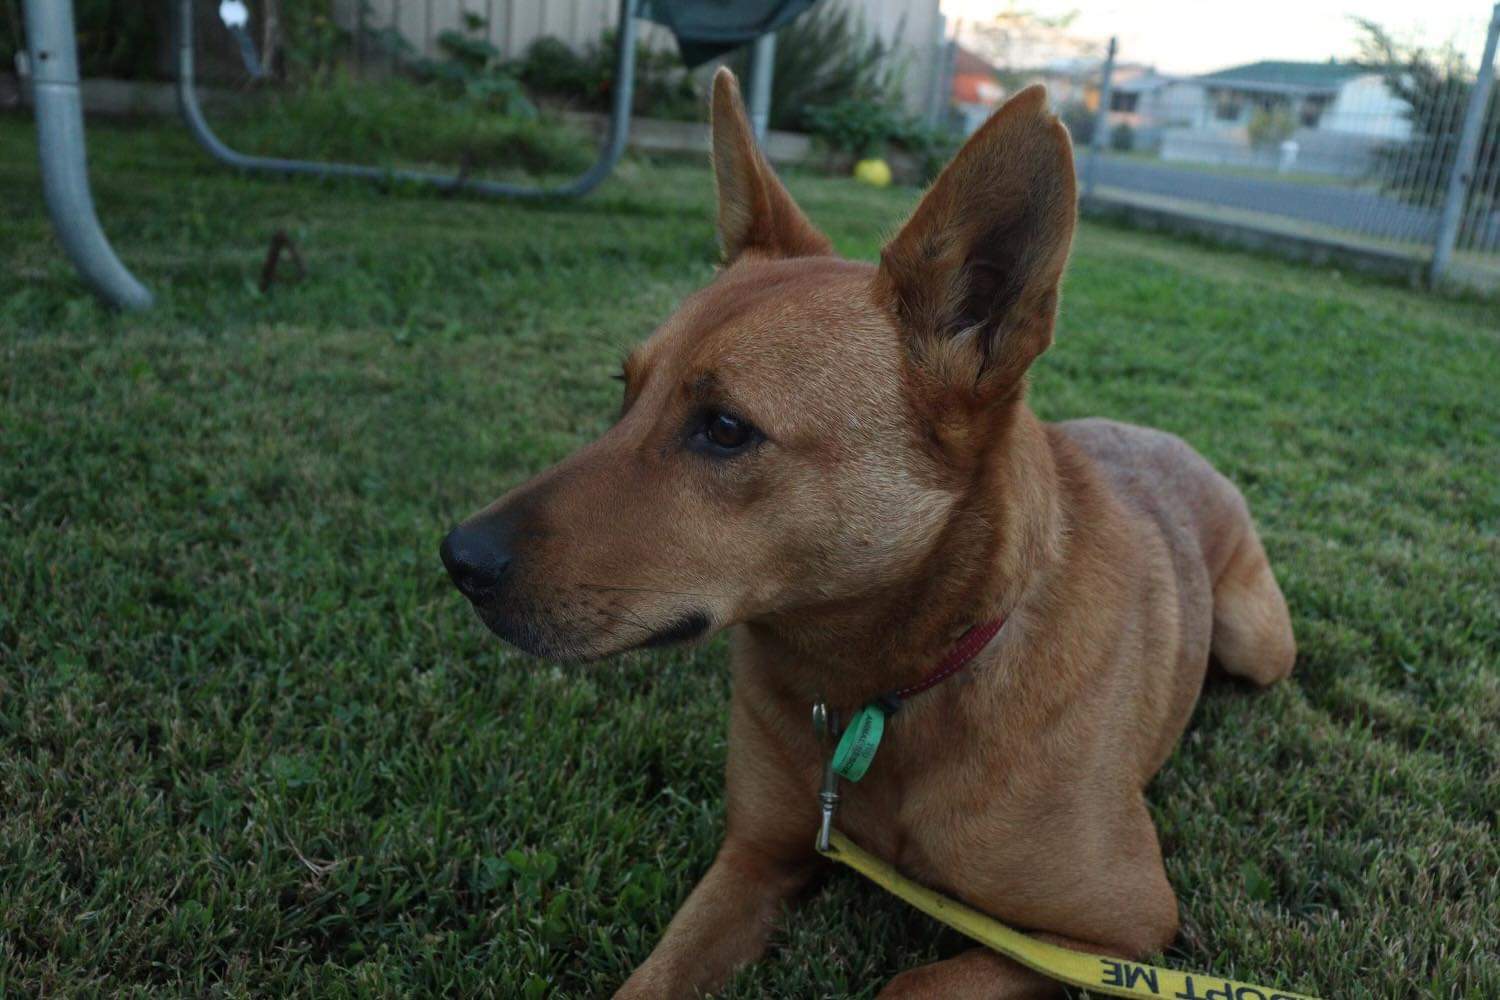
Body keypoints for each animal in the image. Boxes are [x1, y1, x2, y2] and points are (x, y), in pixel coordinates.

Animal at [438, 72, 1296, 1000]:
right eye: (623, 391)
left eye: (726, 428)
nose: (459, 559)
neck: (897, 685)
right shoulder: (756, 854)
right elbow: (655, 977)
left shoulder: (1119, 934)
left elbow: (908, 983)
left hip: (1257, 644)